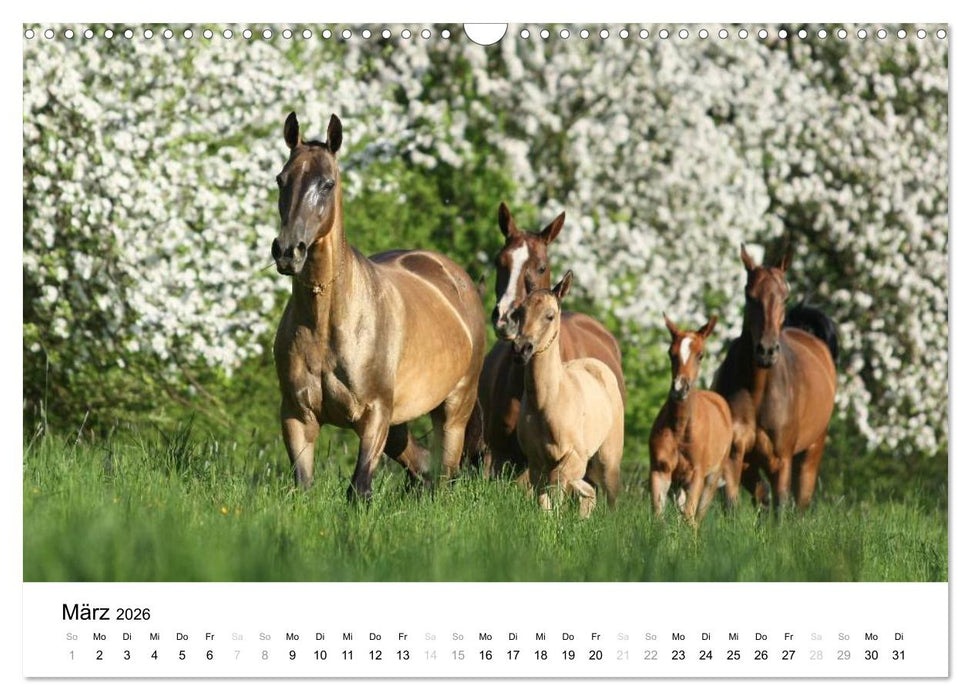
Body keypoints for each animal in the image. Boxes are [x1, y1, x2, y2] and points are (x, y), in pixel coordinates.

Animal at [271, 112, 486, 500]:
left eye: (327, 184)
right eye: (282, 179)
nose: (287, 251)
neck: (326, 324)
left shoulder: (374, 416)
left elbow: (359, 489)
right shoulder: (296, 416)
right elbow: (303, 486)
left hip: (454, 409)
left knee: (444, 477)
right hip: (401, 423)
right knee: (421, 465)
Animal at [511, 271, 623, 517]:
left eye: (550, 316)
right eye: (519, 312)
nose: (521, 348)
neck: (548, 403)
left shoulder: (574, 457)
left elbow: (557, 487)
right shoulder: (536, 461)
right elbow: (545, 499)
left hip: (608, 459)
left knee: (610, 496)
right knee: (588, 491)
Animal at [649, 315, 733, 525]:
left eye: (701, 355)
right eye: (671, 353)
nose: (680, 388)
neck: (680, 429)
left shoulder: (697, 475)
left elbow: (689, 517)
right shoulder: (660, 471)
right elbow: (658, 517)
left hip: (711, 478)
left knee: (697, 517)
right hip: (679, 484)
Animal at [713, 244, 838, 511]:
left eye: (785, 297)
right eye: (749, 295)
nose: (766, 350)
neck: (757, 390)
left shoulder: (781, 461)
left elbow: (780, 508)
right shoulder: (736, 457)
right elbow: (734, 503)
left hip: (811, 453)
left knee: (800, 502)